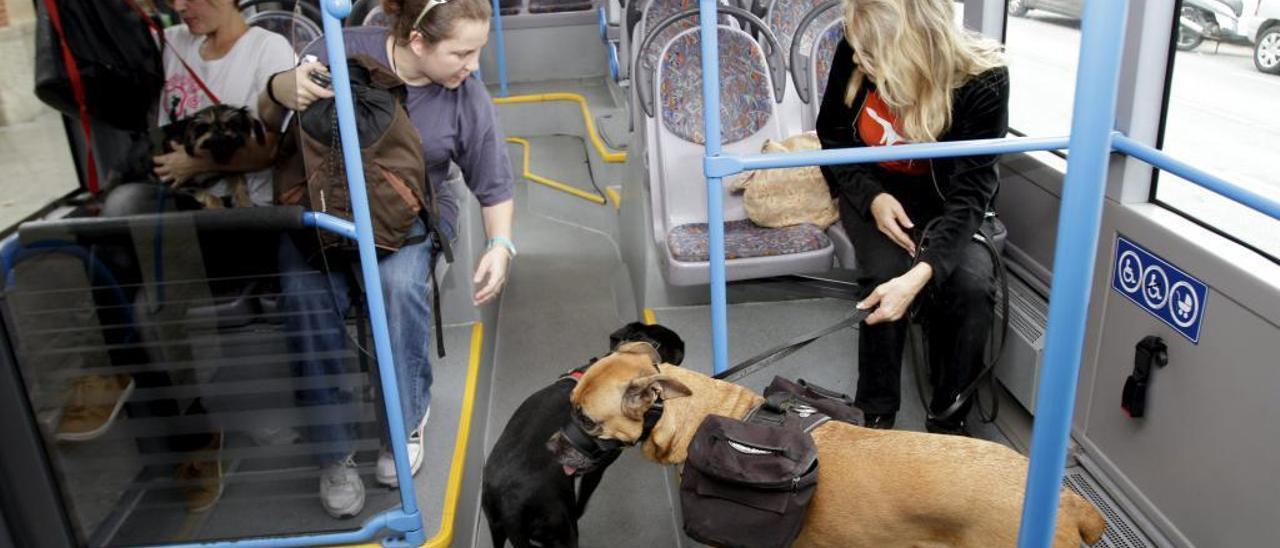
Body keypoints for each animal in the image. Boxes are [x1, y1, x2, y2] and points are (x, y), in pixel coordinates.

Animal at [478, 322, 680, 545]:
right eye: (664, 342)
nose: (682, 342)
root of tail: (510, 507)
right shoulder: (595, 469)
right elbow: (582, 500)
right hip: (562, 531)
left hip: (496, 528)